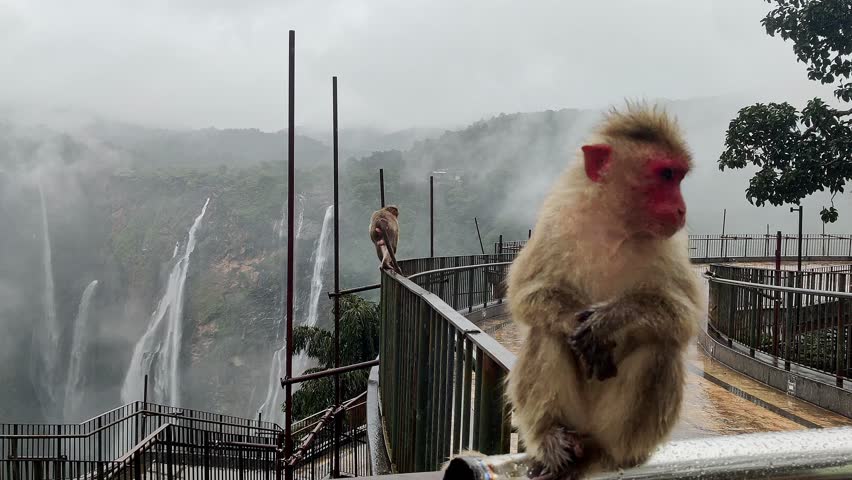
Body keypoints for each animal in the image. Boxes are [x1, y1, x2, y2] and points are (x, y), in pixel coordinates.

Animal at [504, 103, 704, 480]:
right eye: (666, 175)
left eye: (679, 177)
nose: (682, 208)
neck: (616, 225)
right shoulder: (557, 220)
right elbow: (526, 293)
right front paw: (575, 321)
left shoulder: (671, 244)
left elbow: (684, 315)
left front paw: (610, 320)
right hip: (577, 416)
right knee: (545, 332)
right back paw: (552, 438)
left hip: (611, 428)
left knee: (660, 346)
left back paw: (605, 451)